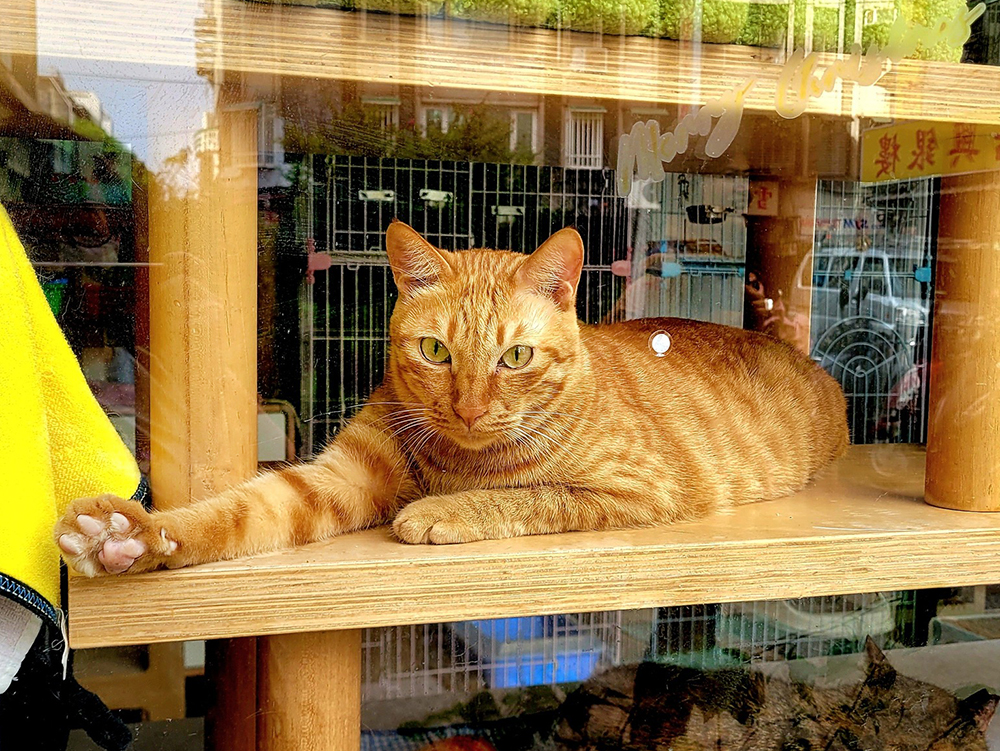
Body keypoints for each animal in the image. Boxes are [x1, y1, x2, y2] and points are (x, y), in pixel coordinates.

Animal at [55, 221, 849, 576]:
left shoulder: (636, 490)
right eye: (435, 351)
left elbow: (527, 495)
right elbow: (234, 512)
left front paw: (440, 509)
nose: (467, 407)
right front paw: (130, 537)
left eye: (515, 356)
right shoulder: (334, 479)